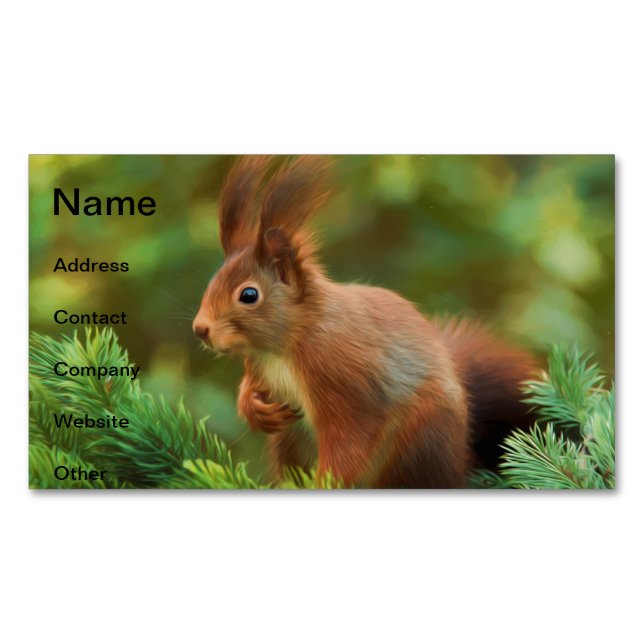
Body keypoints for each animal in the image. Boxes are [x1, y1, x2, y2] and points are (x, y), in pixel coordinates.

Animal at [193, 156, 538, 488]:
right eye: (212, 281)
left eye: (249, 294)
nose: (201, 329)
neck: (284, 346)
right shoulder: (259, 367)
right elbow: (250, 390)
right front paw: (255, 409)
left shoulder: (342, 378)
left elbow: (349, 441)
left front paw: (325, 485)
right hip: (290, 440)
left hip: (419, 438)